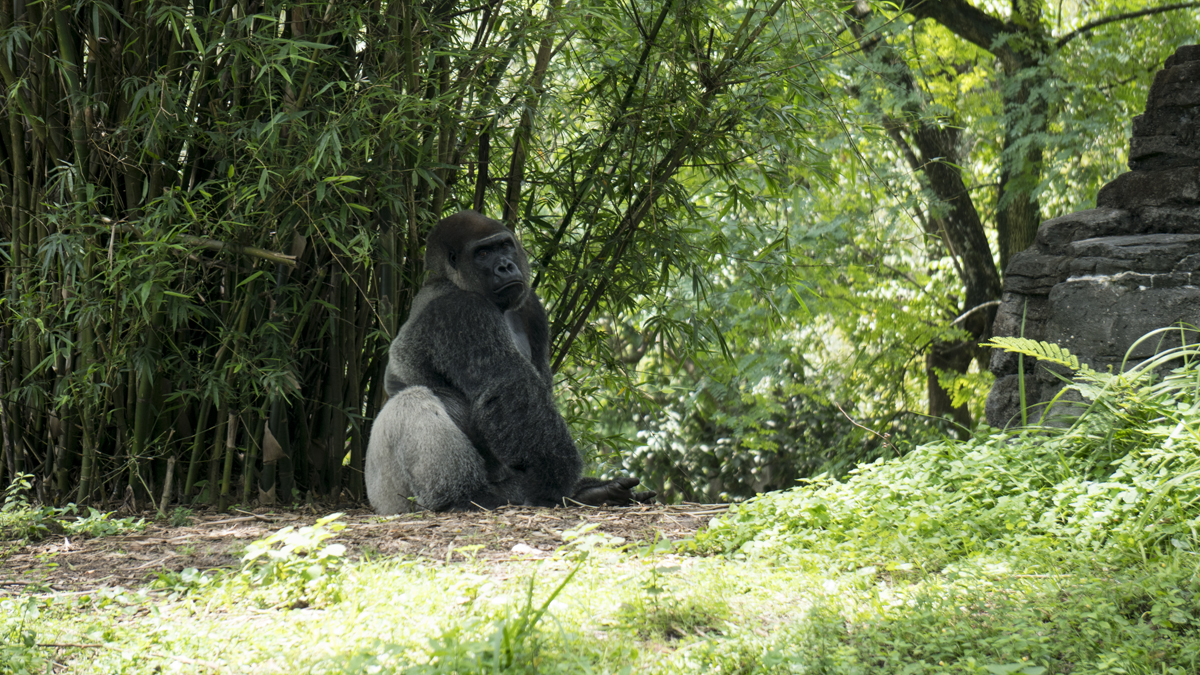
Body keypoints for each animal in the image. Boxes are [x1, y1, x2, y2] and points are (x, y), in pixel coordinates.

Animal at [364, 207, 657, 511]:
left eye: (504, 246)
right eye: (482, 253)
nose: (505, 266)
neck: (446, 279)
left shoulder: (531, 306)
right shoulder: (462, 311)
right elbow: (509, 385)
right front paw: (557, 477)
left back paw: (589, 493)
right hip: (390, 499)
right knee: (411, 400)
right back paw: (463, 497)